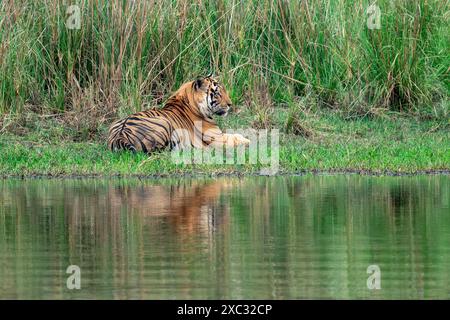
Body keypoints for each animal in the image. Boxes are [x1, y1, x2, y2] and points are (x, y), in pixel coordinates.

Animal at [107, 74, 251, 153]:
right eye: (217, 93)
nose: (230, 104)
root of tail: (120, 136)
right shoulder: (216, 137)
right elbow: (236, 137)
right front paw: (248, 140)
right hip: (164, 124)